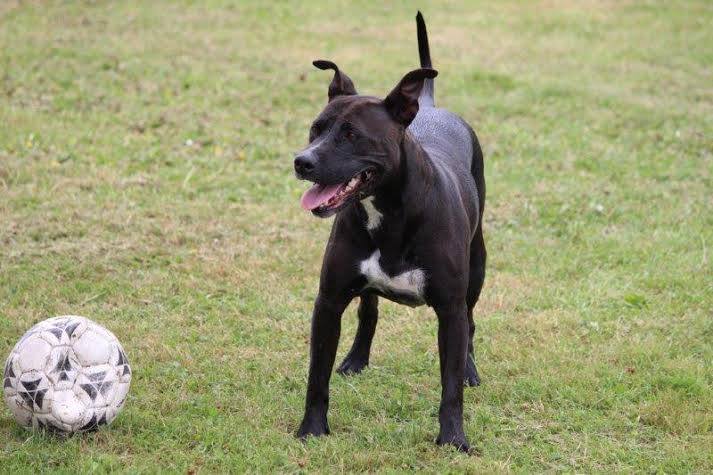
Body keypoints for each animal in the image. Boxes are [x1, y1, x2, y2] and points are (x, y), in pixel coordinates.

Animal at [292, 12, 486, 454]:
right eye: (316, 129)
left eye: (351, 134)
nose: (301, 162)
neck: (392, 213)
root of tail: (428, 105)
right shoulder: (328, 302)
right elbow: (317, 377)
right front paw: (312, 430)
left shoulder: (449, 309)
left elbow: (450, 388)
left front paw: (453, 439)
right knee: (369, 309)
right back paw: (356, 359)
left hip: (478, 266)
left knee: (471, 322)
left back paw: (471, 369)